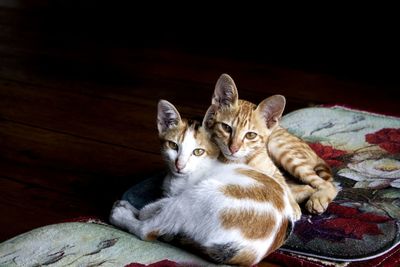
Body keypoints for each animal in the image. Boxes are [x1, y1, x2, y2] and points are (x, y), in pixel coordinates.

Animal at [109, 100, 300, 267]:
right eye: (173, 146)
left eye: (197, 152)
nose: (179, 165)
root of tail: (249, 255)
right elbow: (157, 204)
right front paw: (139, 208)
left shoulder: (181, 194)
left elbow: (154, 209)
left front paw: (139, 212)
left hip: (197, 197)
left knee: (147, 230)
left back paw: (121, 215)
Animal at [205, 74, 340, 216]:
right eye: (226, 128)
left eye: (250, 135)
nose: (233, 149)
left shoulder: (274, 171)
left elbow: (282, 186)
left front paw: (291, 205)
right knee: (308, 186)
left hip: (280, 148)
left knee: (328, 185)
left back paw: (318, 198)